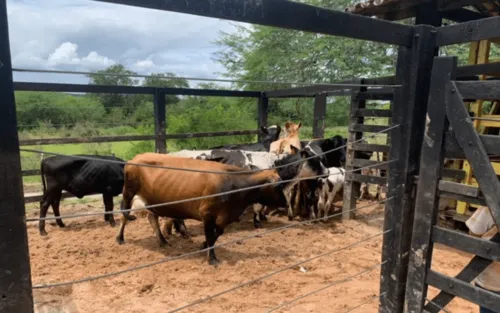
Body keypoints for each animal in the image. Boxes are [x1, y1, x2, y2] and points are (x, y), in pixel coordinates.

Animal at [116, 147, 328, 264]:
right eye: (316, 160)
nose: (326, 173)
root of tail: (134, 159)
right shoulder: (207, 214)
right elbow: (212, 236)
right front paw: (212, 258)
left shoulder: (225, 216)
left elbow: (217, 234)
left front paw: (202, 246)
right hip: (130, 193)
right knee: (124, 213)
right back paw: (121, 237)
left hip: (154, 200)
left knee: (152, 217)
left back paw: (163, 239)